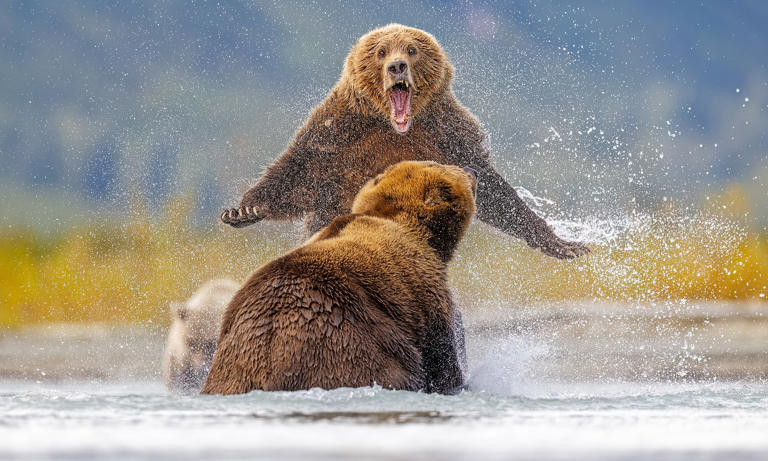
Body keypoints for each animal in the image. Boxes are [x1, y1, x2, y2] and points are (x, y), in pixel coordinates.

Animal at [201, 161, 476, 395]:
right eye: (439, 164)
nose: (471, 170)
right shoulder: (423, 287)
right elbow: (441, 353)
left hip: (232, 367)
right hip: (349, 345)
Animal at [220, 24, 588, 260]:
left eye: (411, 50)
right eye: (382, 51)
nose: (397, 66)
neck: (395, 127)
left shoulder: (447, 133)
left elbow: (491, 189)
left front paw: (563, 243)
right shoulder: (339, 133)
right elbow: (298, 170)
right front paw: (244, 209)